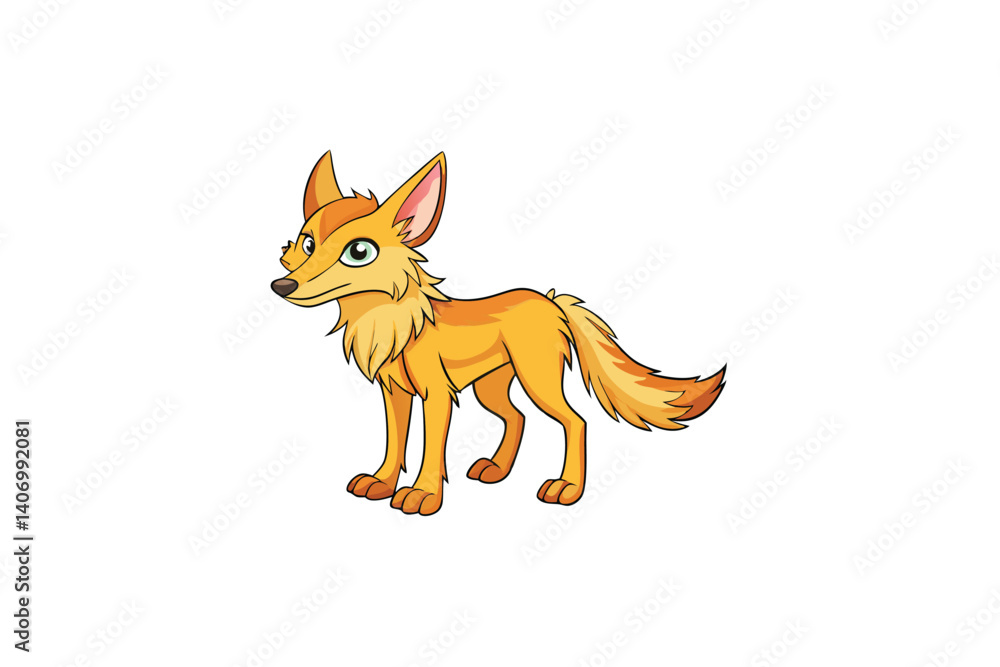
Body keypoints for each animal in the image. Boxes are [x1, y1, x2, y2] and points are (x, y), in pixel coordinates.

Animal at [272, 151, 726, 516]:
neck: (392, 323)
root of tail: (550, 300)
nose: (283, 286)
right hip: (490, 387)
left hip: (537, 380)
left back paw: (567, 488)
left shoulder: (436, 395)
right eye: (307, 244)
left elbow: (430, 447)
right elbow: (394, 442)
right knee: (517, 417)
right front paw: (382, 483)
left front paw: (423, 495)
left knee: (574, 421)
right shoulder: (395, 392)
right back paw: (497, 469)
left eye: (359, 252)